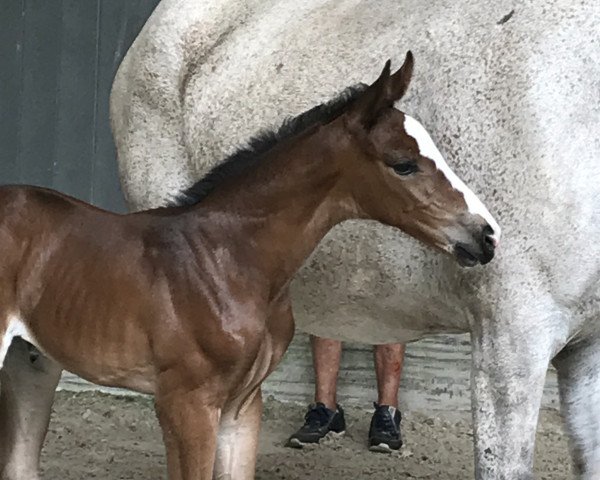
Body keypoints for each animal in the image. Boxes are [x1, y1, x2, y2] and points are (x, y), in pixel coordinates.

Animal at [0, 0, 596, 480]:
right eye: (403, 163)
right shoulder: (185, 404)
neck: (222, 258)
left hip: (31, 357)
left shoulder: (240, 407)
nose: (486, 235)